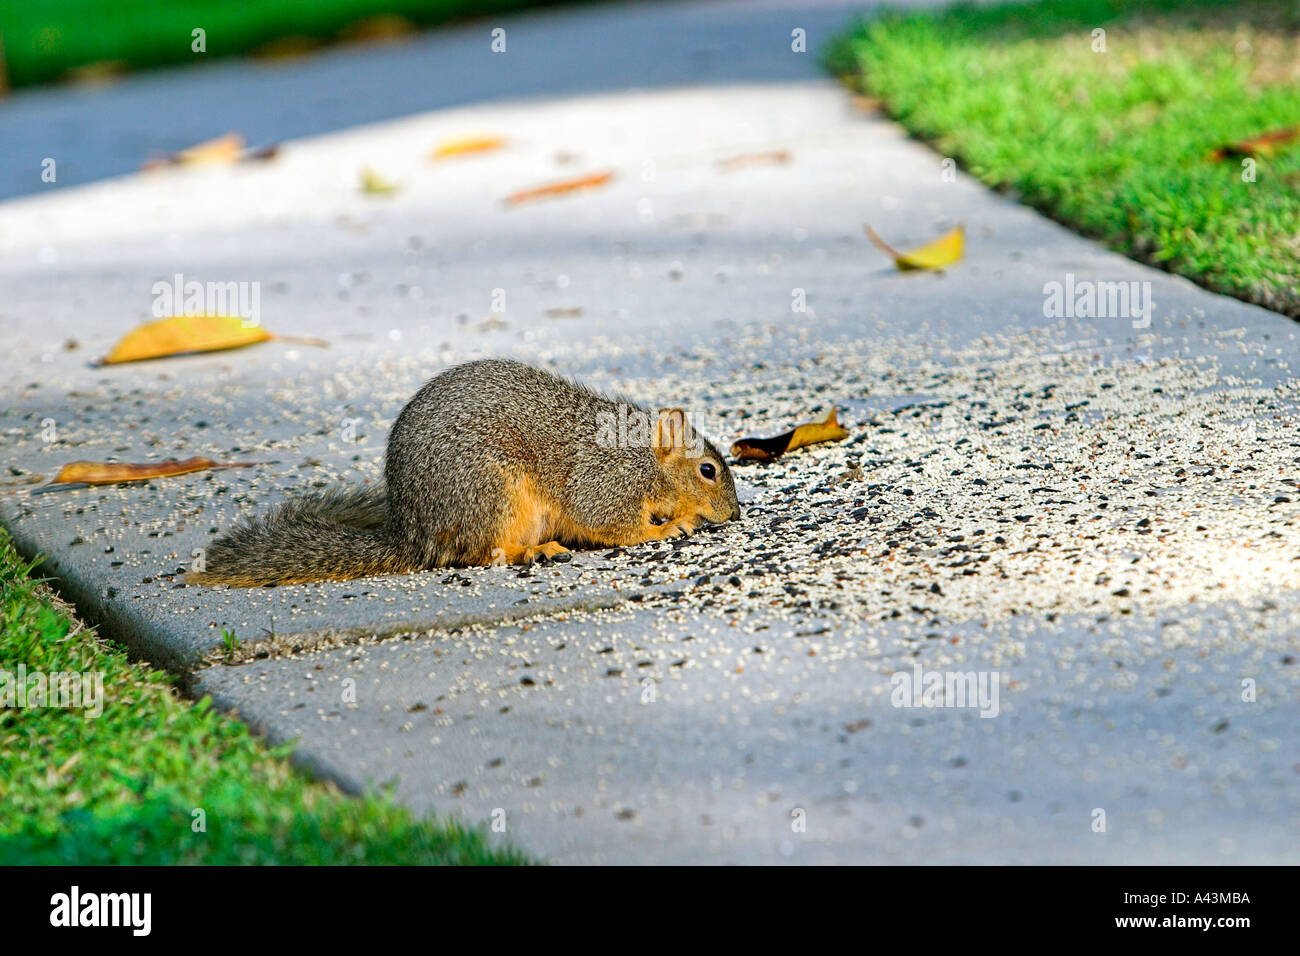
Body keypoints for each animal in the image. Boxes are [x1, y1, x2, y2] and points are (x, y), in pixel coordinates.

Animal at [189, 358, 741, 587]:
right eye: (709, 470)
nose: (736, 515)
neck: (642, 457)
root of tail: (412, 533)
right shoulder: (604, 481)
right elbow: (613, 524)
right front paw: (672, 524)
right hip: (492, 493)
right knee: (481, 552)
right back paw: (532, 550)